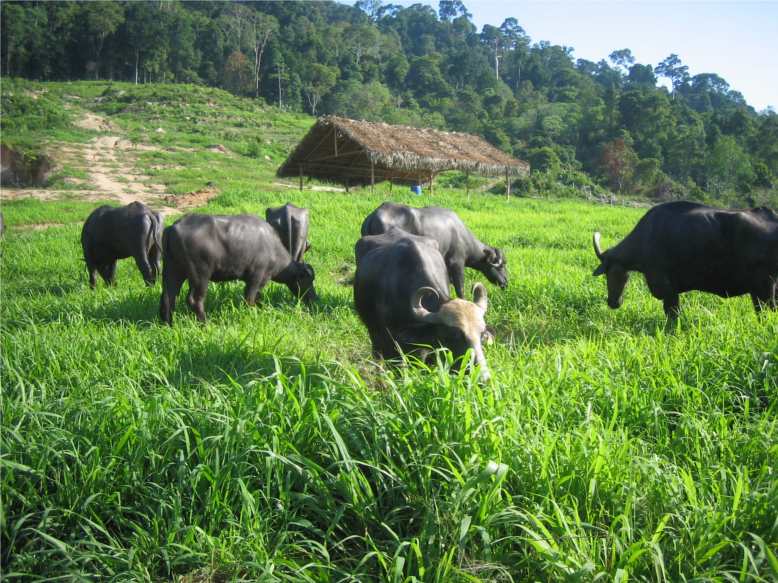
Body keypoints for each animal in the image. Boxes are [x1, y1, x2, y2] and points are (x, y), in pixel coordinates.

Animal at [160, 213, 317, 325]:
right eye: (308, 279)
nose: (314, 298)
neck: (273, 250)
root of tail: (173, 227)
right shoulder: (256, 277)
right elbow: (250, 298)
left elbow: (258, 297)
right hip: (200, 275)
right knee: (194, 300)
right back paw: (205, 323)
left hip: (173, 270)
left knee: (168, 297)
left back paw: (168, 324)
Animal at [361, 202, 507, 298]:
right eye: (501, 266)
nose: (506, 282)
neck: (462, 236)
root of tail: (373, 216)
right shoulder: (457, 263)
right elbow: (460, 288)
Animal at [592, 201, 778, 317]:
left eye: (611, 273)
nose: (613, 302)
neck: (646, 238)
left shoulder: (668, 290)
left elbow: (672, 315)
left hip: (764, 289)